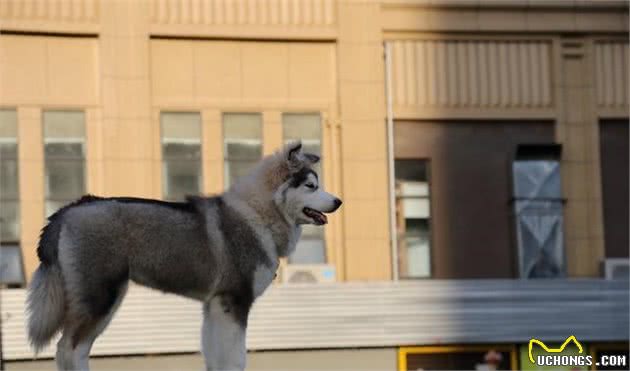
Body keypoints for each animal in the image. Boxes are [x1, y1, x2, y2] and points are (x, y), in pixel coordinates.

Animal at [25, 142, 340, 371]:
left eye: (319, 184)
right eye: (311, 186)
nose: (339, 201)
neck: (257, 213)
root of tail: (71, 208)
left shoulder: (215, 306)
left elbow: (217, 357)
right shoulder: (234, 301)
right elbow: (236, 357)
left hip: (104, 300)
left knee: (73, 349)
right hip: (100, 297)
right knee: (70, 348)